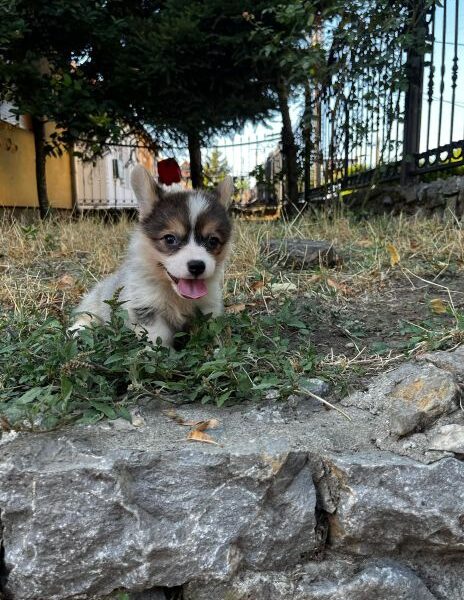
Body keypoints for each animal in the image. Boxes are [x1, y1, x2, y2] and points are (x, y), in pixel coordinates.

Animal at [74, 164, 234, 346]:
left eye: (213, 241)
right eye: (170, 239)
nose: (197, 266)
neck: (175, 294)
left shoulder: (208, 306)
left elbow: (208, 329)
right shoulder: (146, 306)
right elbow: (158, 336)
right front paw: (160, 352)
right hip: (99, 300)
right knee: (88, 314)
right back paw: (78, 330)